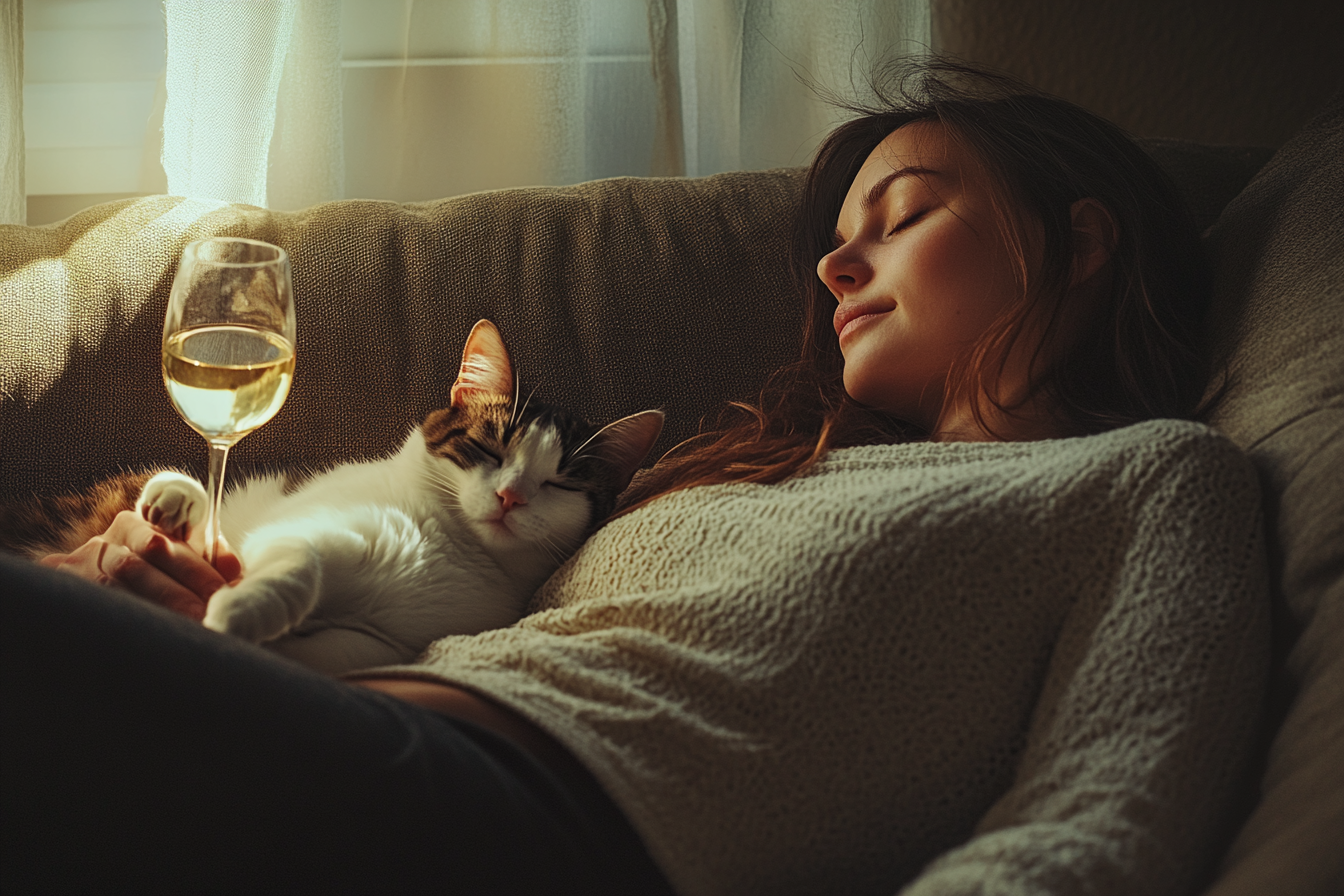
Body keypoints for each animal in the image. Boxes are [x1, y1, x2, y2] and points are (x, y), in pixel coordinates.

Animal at [5, 318, 663, 677]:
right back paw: (174, 499)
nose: (509, 498)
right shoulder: (299, 526)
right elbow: (302, 561)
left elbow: (335, 651)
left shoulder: (383, 642)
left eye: (560, 483)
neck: (452, 544)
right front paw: (245, 609)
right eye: (490, 448)